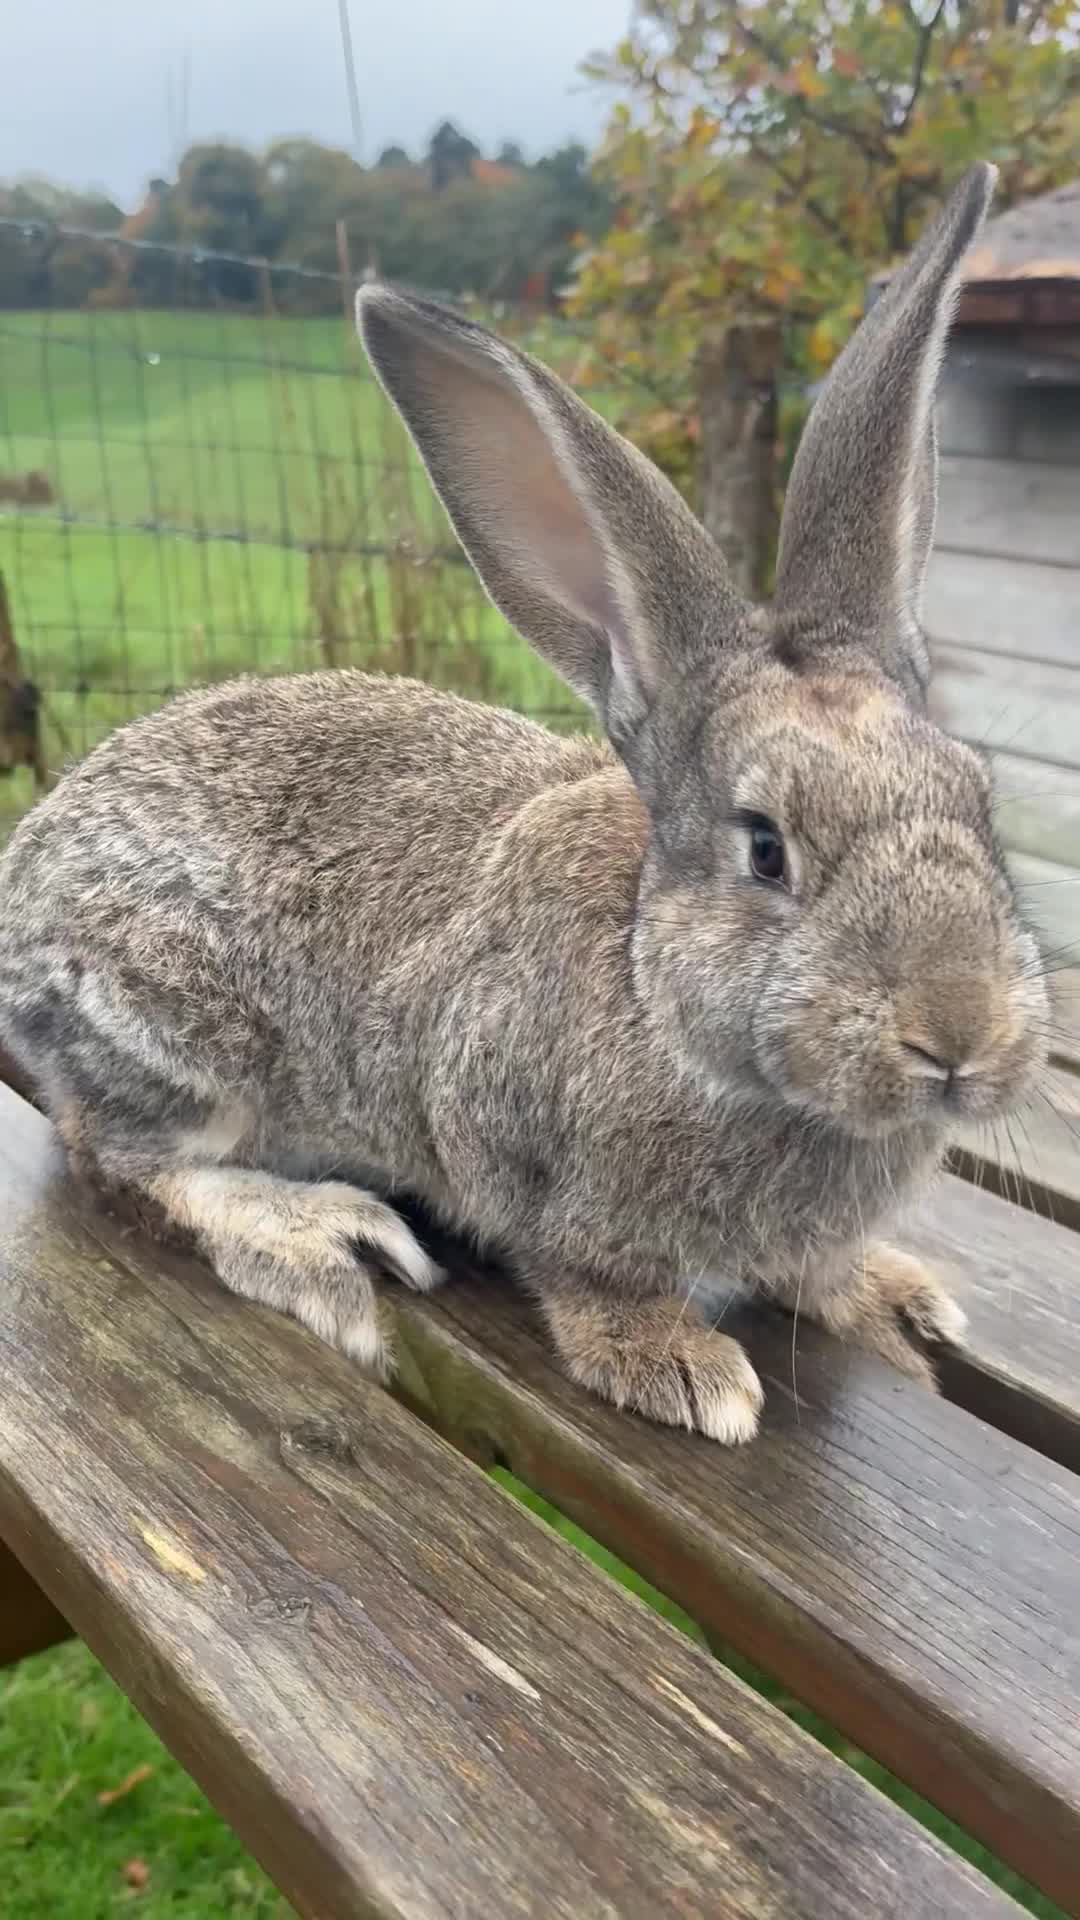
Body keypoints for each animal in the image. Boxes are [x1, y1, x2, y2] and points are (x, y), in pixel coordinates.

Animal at [0, 163, 1049, 1443]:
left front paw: (890, 1297)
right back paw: (319, 1237)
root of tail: (24, 879)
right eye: (765, 849)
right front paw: (678, 1367)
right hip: (176, 1037)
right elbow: (580, 1273)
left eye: (979, 804)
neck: (655, 987)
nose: (960, 1034)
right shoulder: (501, 1136)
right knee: (120, 1160)